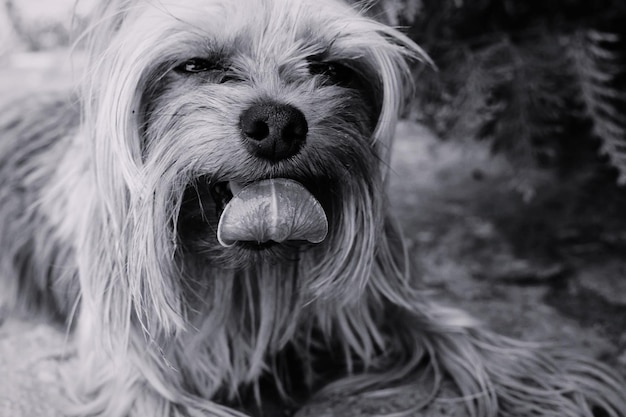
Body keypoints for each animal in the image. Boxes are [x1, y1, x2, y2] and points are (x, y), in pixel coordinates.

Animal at [1, 0, 624, 416]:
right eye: (195, 65)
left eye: (330, 67)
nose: (277, 123)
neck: (252, 267)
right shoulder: (132, 357)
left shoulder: (375, 296)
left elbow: (450, 329)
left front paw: (558, 379)